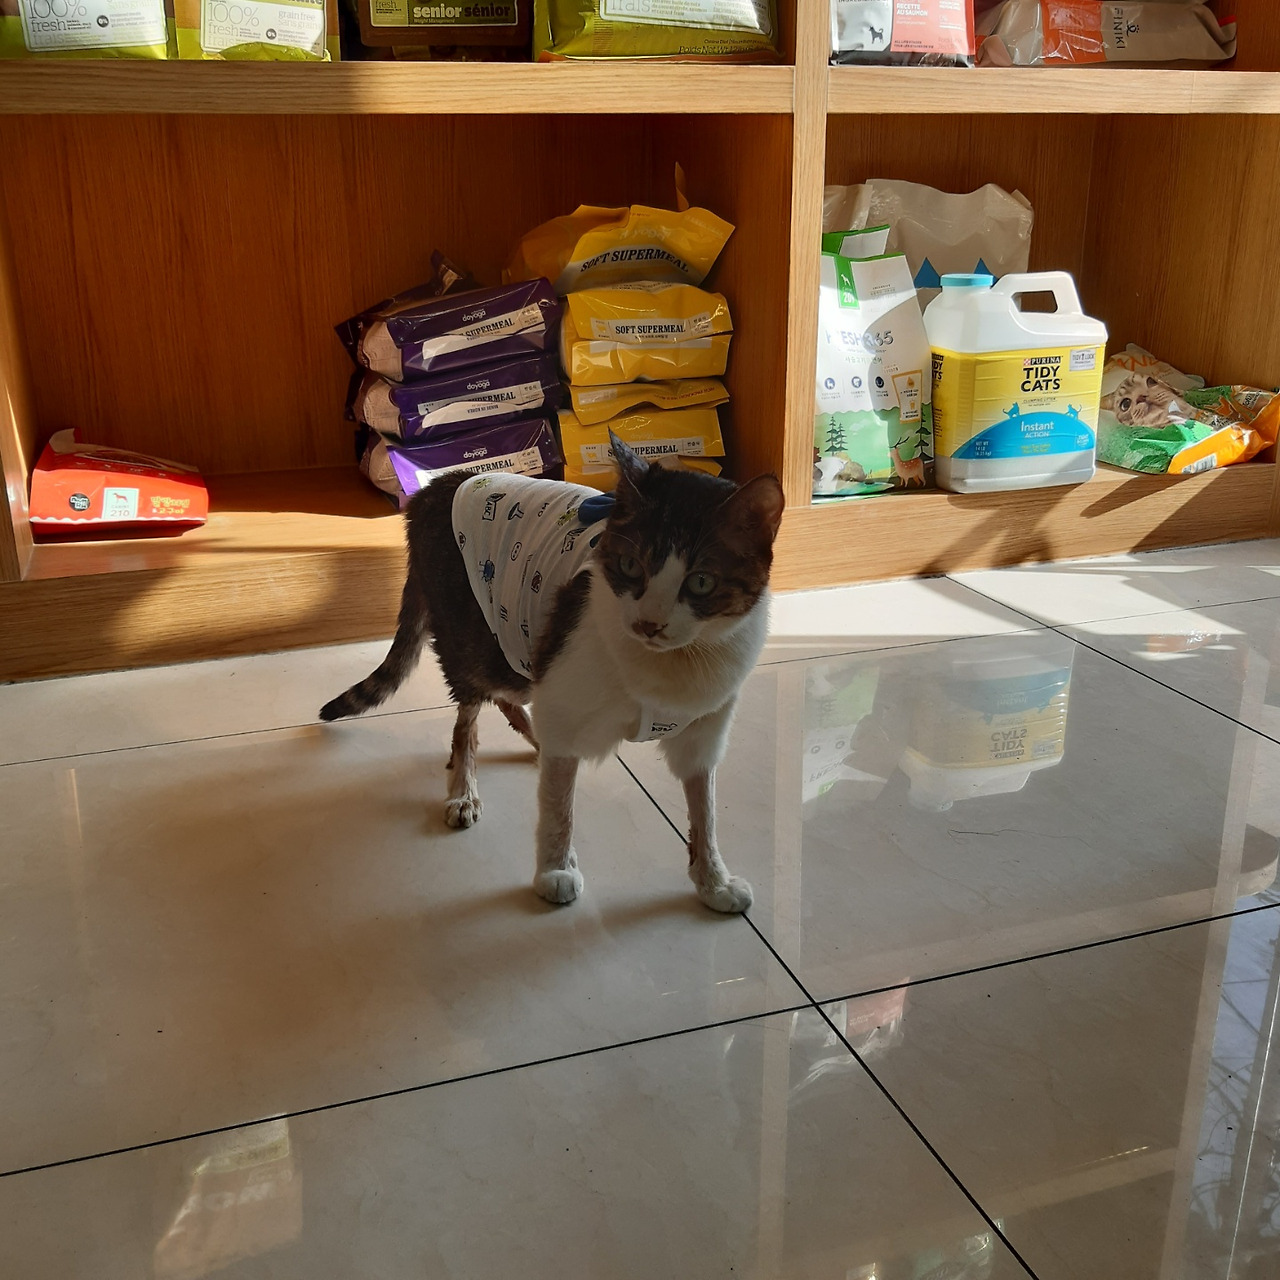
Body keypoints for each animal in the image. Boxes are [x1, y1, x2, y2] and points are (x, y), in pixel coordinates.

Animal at [319, 433, 785, 914]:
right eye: (630, 566)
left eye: (702, 583)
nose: (649, 624)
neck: (672, 664)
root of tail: (437, 486)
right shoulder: (564, 694)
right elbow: (560, 807)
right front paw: (555, 869)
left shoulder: (704, 727)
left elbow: (704, 809)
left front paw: (713, 881)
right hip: (478, 637)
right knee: (468, 717)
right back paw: (463, 788)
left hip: (521, 641)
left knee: (509, 698)